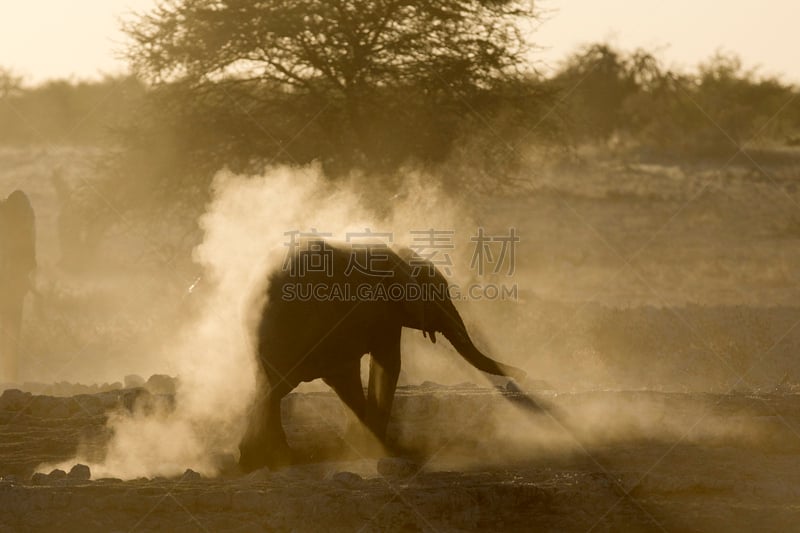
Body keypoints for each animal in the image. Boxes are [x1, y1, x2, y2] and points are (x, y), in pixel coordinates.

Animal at [238, 239, 524, 472]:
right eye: (438, 294)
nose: (526, 374)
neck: (401, 255)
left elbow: (349, 377)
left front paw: (364, 446)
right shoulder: (383, 312)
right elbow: (387, 365)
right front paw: (382, 449)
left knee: (271, 386)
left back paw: (257, 461)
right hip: (293, 332)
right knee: (277, 386)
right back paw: (273, 460)